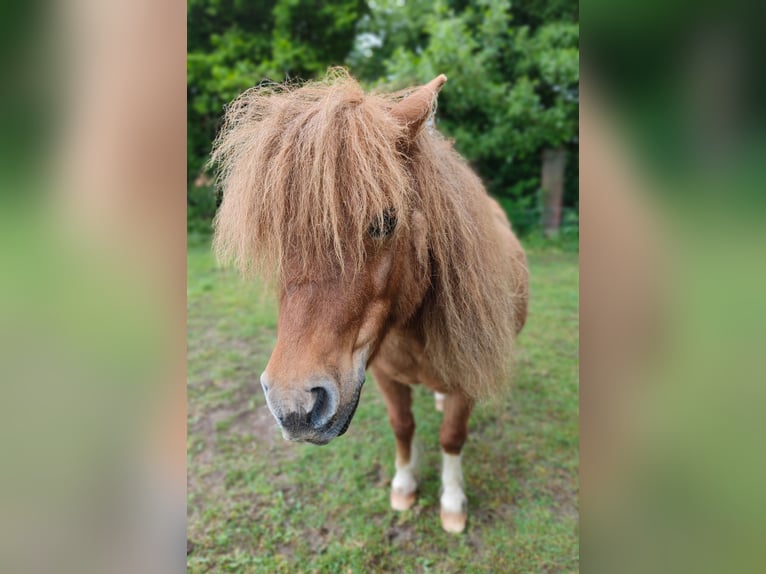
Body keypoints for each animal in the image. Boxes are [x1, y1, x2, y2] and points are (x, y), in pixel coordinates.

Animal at [213, 68, 532, 536]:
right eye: (276, 233)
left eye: (385, 221)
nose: (294, 406)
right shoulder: (380, 373)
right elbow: (402, 427)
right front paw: (404, 486)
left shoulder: (466, 376)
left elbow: (451, 437)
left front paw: (453, 503)